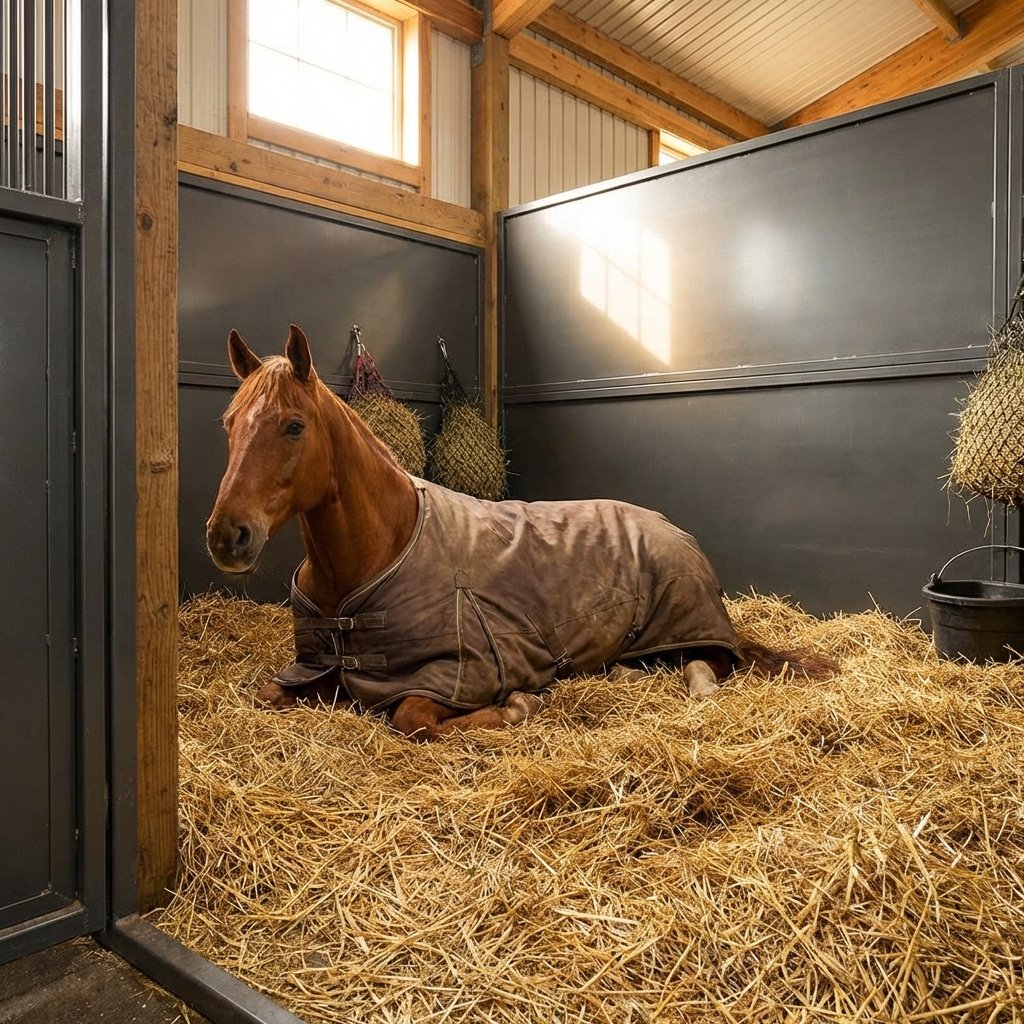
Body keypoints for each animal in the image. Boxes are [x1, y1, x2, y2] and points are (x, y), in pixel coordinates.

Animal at [206, 324, 836, 741]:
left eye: (293, 426)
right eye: (229, 423)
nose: (226, 535)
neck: (380, 554)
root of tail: (670, 527)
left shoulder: (454, 675)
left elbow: (414, 721)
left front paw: (517, 707)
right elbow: (267, 694)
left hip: (688, 627)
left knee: (714, 663)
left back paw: (695, 682)